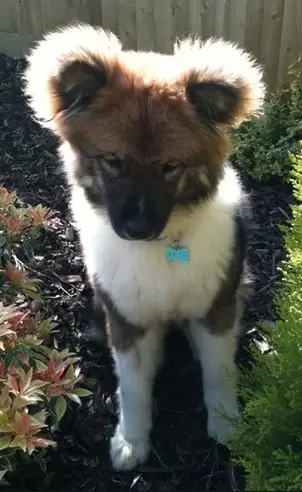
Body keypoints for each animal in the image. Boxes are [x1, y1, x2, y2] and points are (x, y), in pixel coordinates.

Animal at [24, 24, 264, 472]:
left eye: (170, 167)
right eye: (113, 161)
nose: (136, 229)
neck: (162, 247)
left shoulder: (216, 307)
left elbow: (218, 370)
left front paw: (226, 423)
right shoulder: (127, 320)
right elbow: (134, 386)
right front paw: (131, 441)